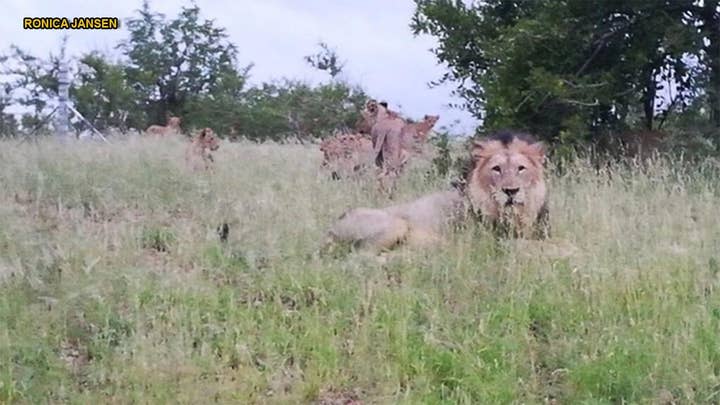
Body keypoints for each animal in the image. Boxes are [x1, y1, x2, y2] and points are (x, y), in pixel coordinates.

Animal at [325, 130, 550, 251]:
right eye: (496, 169)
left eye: (521, 168)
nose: (511, 191)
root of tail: (334, 224)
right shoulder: (495, 241)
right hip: (395, 224)